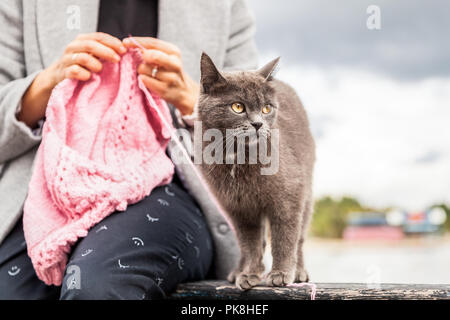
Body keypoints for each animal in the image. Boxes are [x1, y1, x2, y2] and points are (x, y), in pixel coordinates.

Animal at [195, 53, 314, 290]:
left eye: (267, 108)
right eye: (237, 107)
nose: (258, 124)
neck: (238, 158)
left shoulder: (289, 196)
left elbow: (285, 235)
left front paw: (281, 273)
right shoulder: (240, 207)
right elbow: (250, 243)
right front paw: (250, 273)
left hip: (307, 191)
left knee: (300, 237)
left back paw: (299, 271)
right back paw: (240, 271)